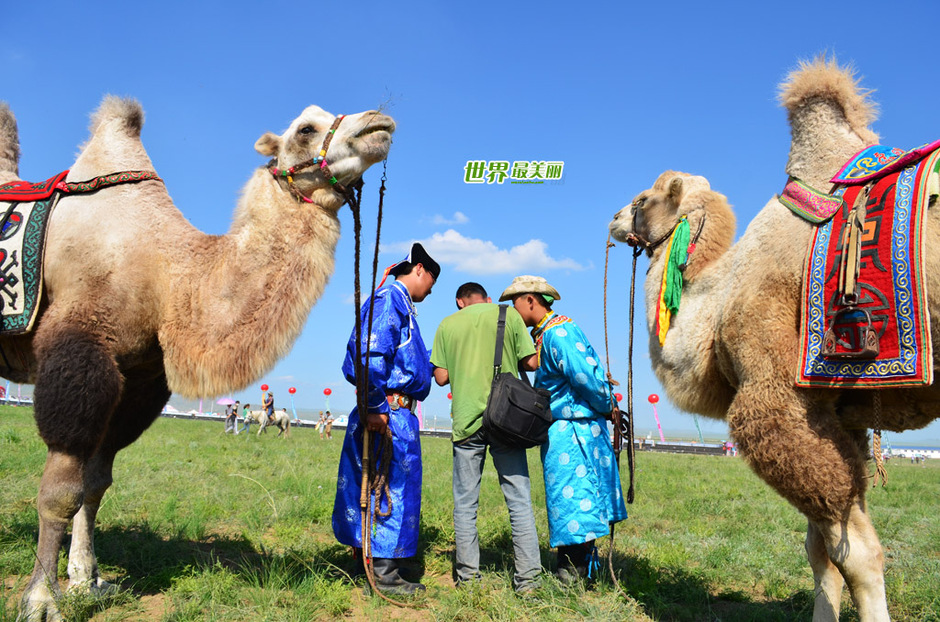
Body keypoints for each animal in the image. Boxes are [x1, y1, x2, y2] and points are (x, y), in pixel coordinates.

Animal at [0, 95, 392, 620]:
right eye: (306, 129)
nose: (379, 122)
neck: (169, 276)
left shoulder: (140, 377)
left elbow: (96, 484)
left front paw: (88, 580)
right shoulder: (80, 347)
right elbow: (62, 492)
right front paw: (42, 600)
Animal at [604, 56, 936, 620]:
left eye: (642, 199)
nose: (612, 218)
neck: (718, 298)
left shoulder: (777, 394)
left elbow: (855, 553)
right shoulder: (838, 412)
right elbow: (819, 551)